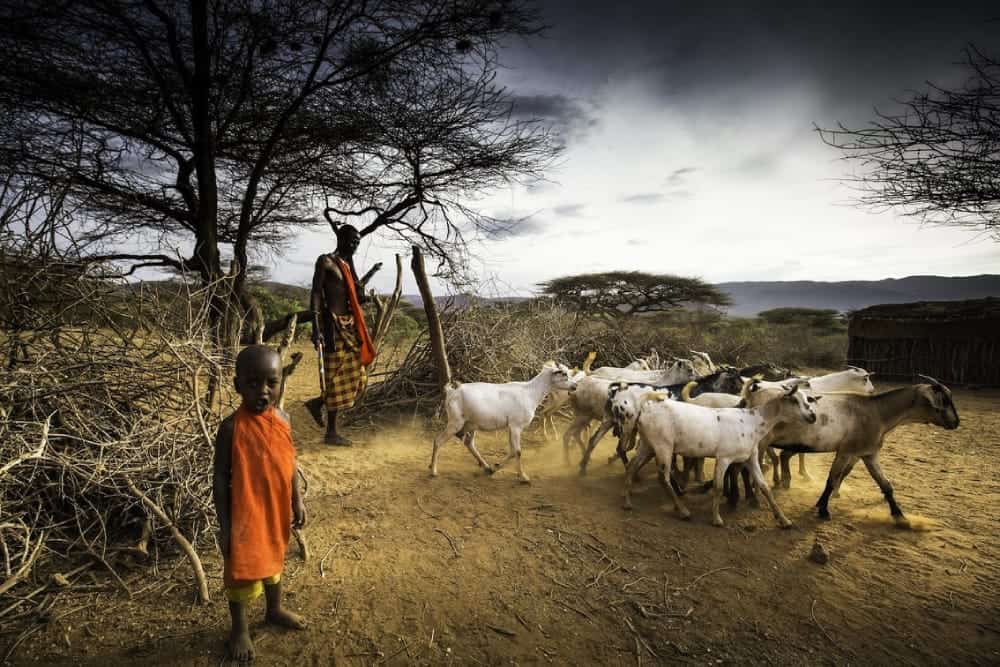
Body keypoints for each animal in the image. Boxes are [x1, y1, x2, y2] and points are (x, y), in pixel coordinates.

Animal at [430, 362, 580, 482]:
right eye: (564, 374)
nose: (575, 386)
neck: (530, 392)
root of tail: (451, 392)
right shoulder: (516, 426)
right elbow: (518, 451)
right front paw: (524, 477)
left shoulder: (510, 427)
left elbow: (512, 451)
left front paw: (495, 468)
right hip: (455, 422)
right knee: (438, 441)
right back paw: (433, 471)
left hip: (471, 424)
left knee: (469, 443)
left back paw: (486, 467)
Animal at [612, 384, 816, 528]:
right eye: (794, 400)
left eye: (807, 400)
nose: (812, 416)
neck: (753, 422)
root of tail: (644, 411)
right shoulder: (724, 458)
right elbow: (718, 487)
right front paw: (717, 519)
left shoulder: (750, 458)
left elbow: (764, 487)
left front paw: (783, 520)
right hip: (664, 447)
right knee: (663, 478)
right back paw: (683, 511)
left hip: (647, 445)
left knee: (631, 467)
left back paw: (627, 502)